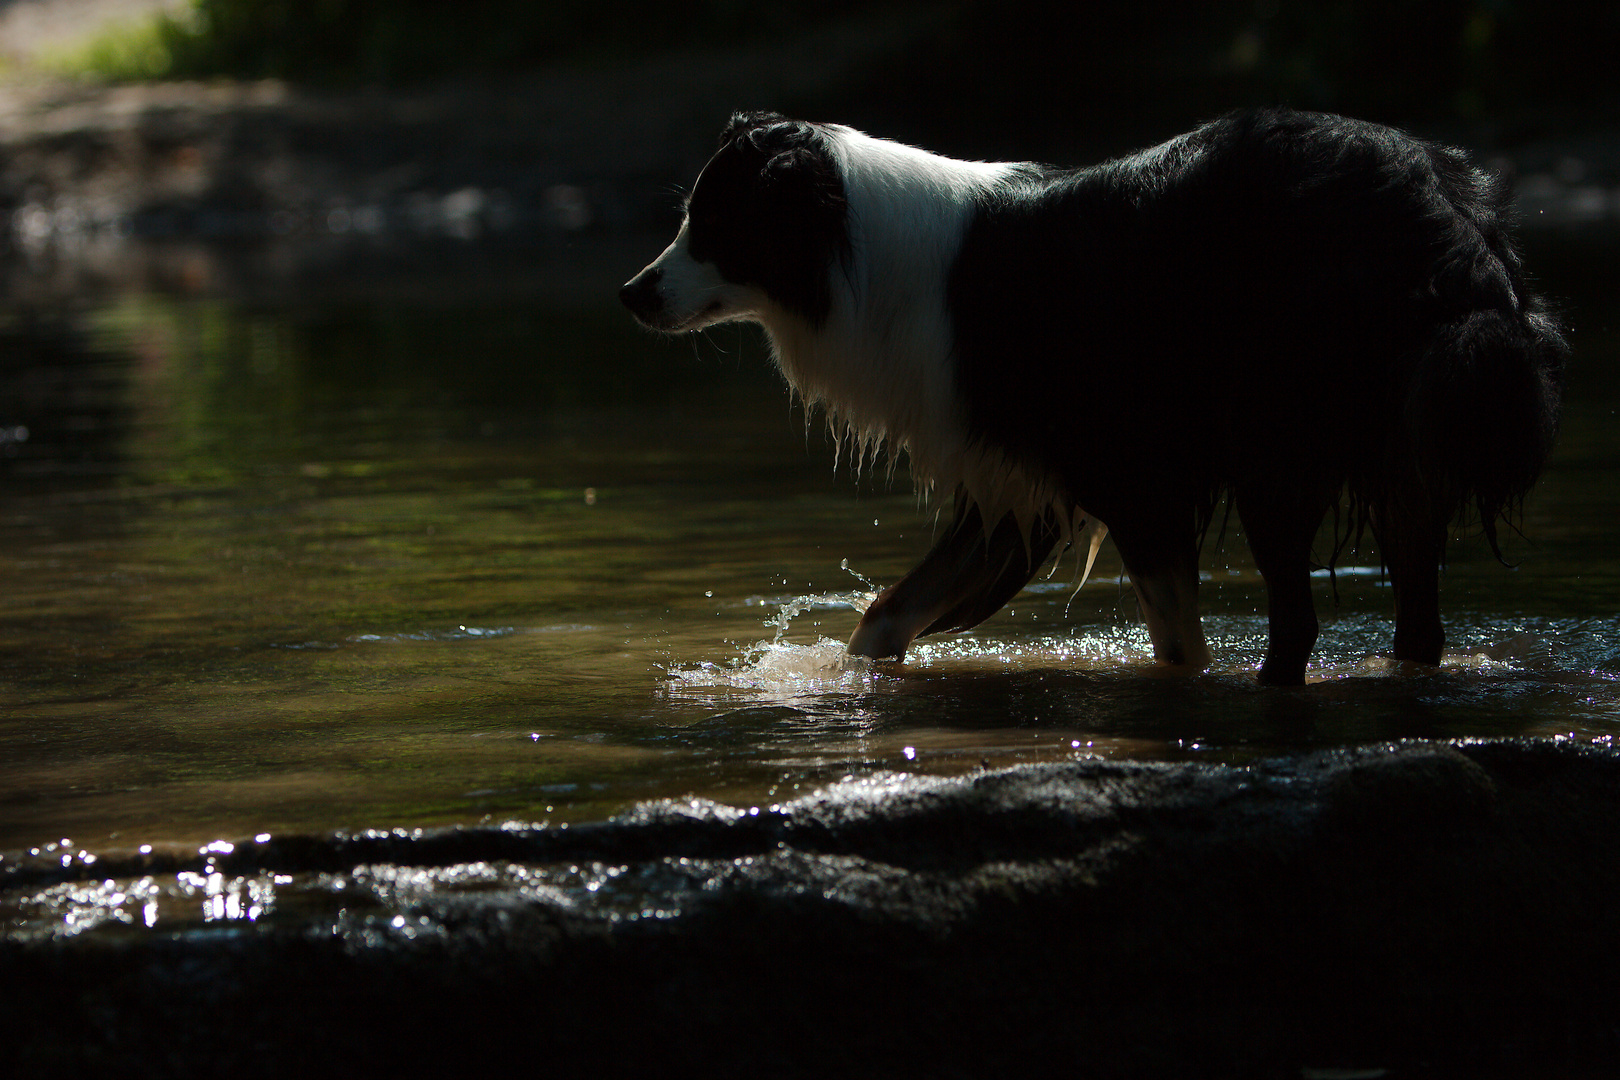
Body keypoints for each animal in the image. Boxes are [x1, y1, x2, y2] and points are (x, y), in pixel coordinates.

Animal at [622, 110, 1568, 683]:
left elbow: (1178, 646)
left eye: (717, 224)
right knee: (1418, 626)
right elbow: (890, 613)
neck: (856, 251)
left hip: (1276, 447)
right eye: (691, 216)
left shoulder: (1130, 475)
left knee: (1299, 622)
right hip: (1406, 451)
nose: (631, 293)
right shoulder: (1013, 482)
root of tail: (1450, 208)